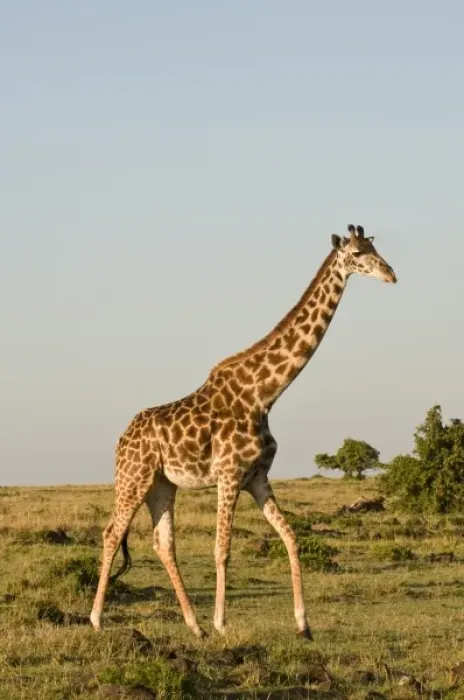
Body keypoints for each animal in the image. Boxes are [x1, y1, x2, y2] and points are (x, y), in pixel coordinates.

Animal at [90, 224, 397, 640]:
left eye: (374, 247)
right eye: (356, 254)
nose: (391, 274)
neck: (264, 395)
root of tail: (121, 439)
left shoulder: (258, 477)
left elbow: (291, 537)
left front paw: (303, 623)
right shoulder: (230, 474)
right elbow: (222, 548)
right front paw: (222, 623)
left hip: (161, 484)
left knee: (162, 544)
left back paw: (194, 626)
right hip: (132, 479)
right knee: (111, 533)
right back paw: (97, 619)